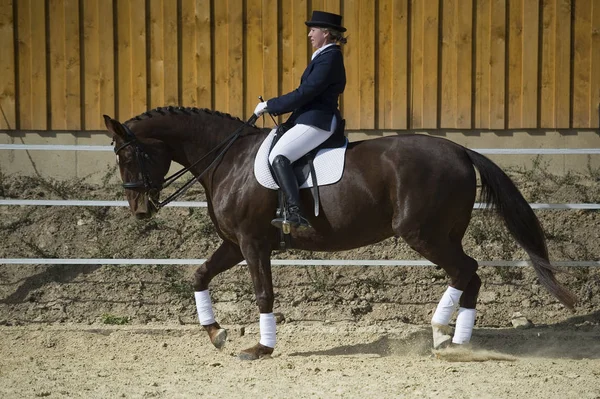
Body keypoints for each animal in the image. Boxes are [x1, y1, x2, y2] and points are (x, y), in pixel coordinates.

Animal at [104, 108, 576, 360]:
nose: (140, 210)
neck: (229, 159)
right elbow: (199, 275)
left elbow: (263, 293)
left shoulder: (253, 243)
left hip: (423, 234)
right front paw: (216, 333)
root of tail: (460, 149)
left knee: (466, 271)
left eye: (129, 156)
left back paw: (442, 333)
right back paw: (453, 341)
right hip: (444, 234)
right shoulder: (234, 243)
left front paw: (261, 349)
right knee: (470, 275)